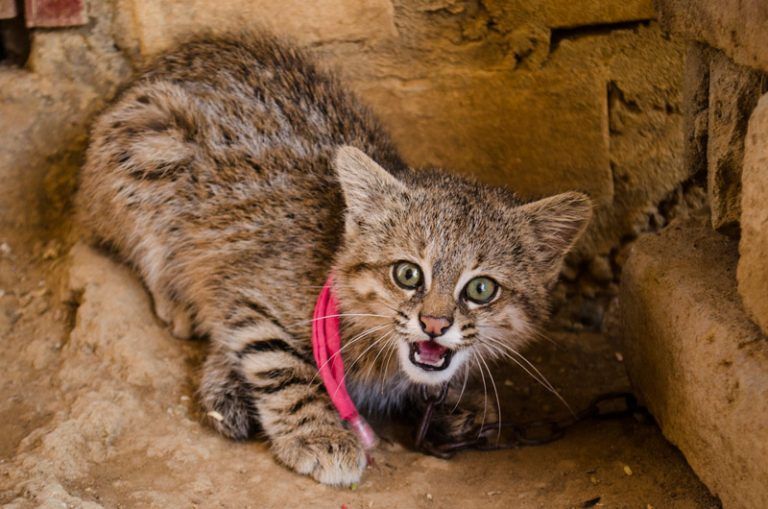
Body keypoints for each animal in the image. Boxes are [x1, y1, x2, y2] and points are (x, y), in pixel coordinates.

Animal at [76, 31, 592, 484]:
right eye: (408, 275)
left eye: (481, 289)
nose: (433, 325)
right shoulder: (249, 297)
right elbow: (283, 368)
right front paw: (318, 435)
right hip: (148, 143)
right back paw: (176, 302)